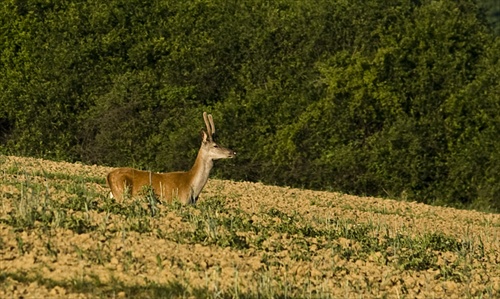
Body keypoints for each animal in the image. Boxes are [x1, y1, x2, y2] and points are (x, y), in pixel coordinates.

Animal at [105, 111, 236, 205]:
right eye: (215, 145)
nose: (233, 152)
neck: (190, 185)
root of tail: (108, 176)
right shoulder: (174, 202)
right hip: (121, 194)